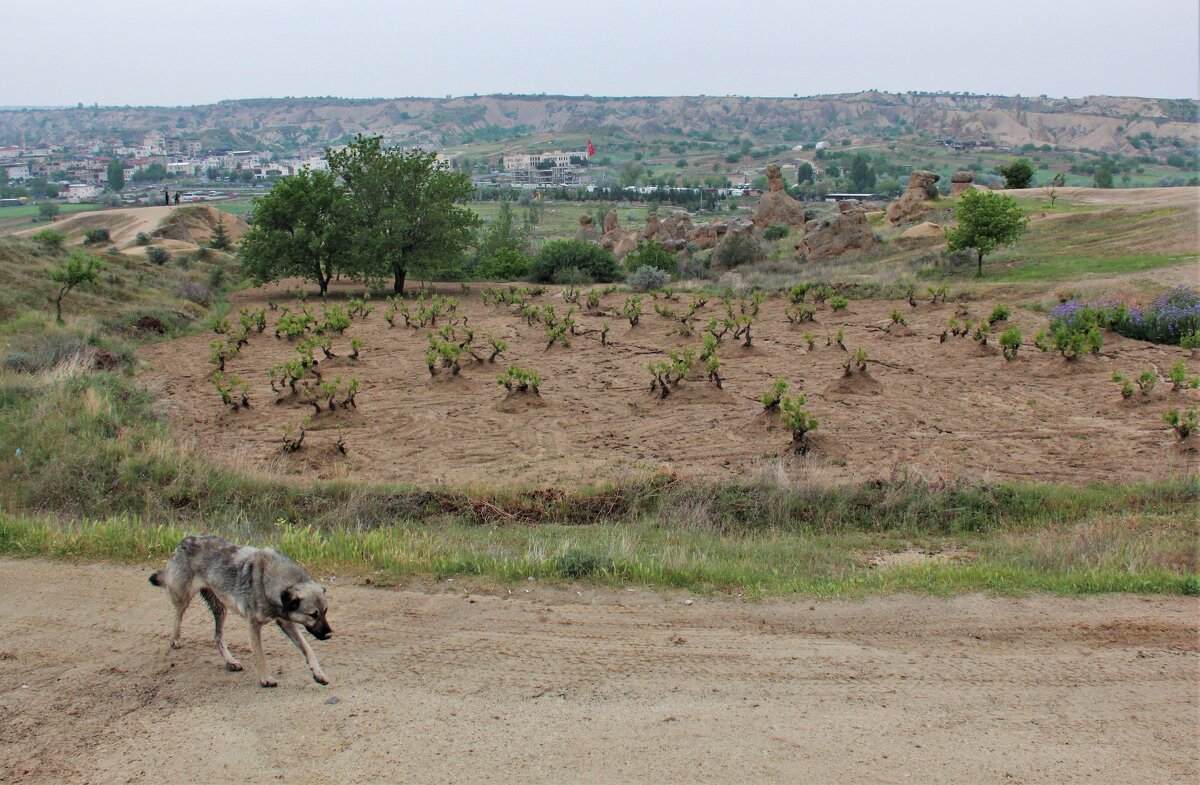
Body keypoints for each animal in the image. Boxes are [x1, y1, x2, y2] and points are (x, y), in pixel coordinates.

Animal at [153, 535, 338, 691]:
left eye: (325, 612)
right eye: (313, 614)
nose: (329, 634)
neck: (267, 579)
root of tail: (185, 541)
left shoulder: (286, 623)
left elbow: (308, 648)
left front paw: (318, 674)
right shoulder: (254, 625)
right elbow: (260, 655)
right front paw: (265, 678)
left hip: (221, 609)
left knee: (218, 637)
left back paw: (231, 661)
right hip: (184, 598)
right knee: (177, 616)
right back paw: (175, 639)